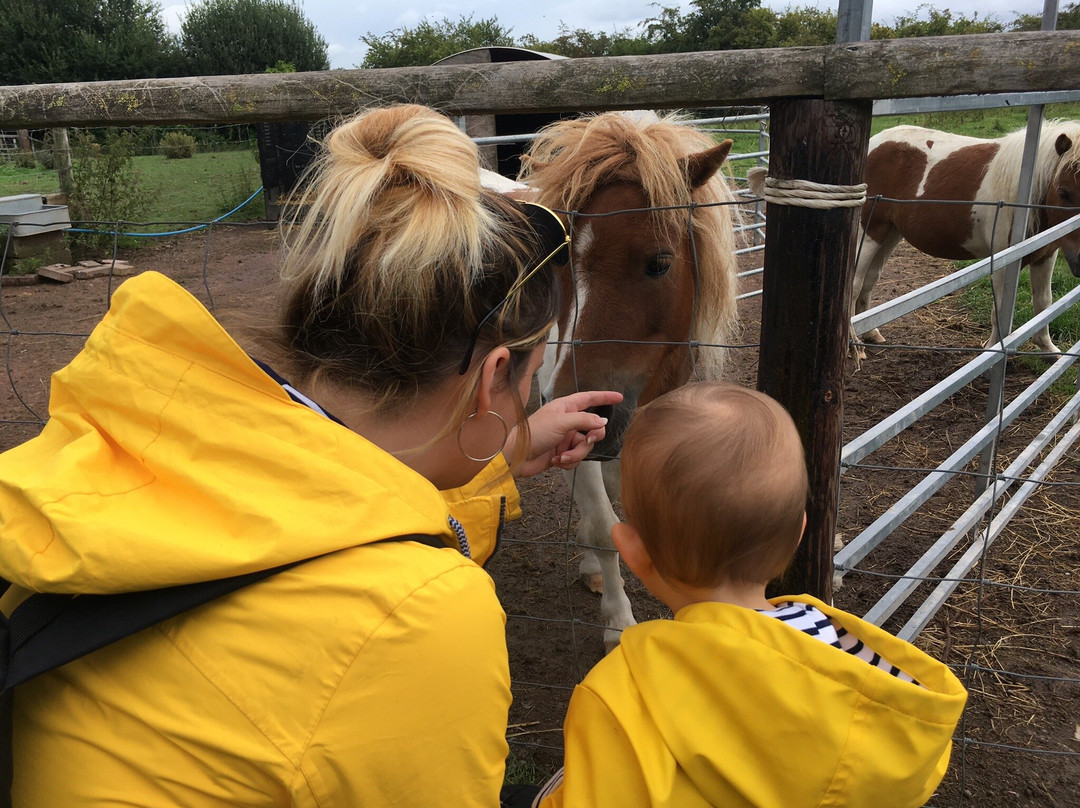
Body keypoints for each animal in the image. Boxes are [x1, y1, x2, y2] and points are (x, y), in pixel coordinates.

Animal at [851, 120, 1080, 356]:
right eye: (1063, 193)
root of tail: (874, 143)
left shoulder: (1045, 256)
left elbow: (1043, 303)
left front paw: (1049, 350)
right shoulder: (1005, 263)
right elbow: (1000, 312)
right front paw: (992, 352)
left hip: (889, 234)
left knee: (869, 279)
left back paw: (871, 334)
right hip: (868, 234)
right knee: (855, 284)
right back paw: (855, 347)